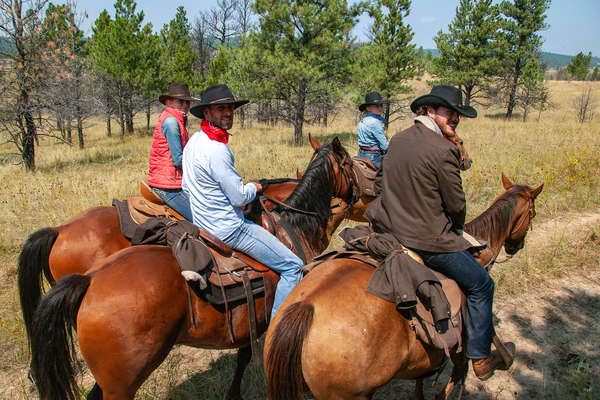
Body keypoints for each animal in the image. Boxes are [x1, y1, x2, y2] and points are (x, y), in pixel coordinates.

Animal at [264, 174, 548, 400]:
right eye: (532, 212)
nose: (516, 246)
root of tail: (305, 308)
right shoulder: (462, 347)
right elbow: (457, 380)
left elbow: (422, 382)